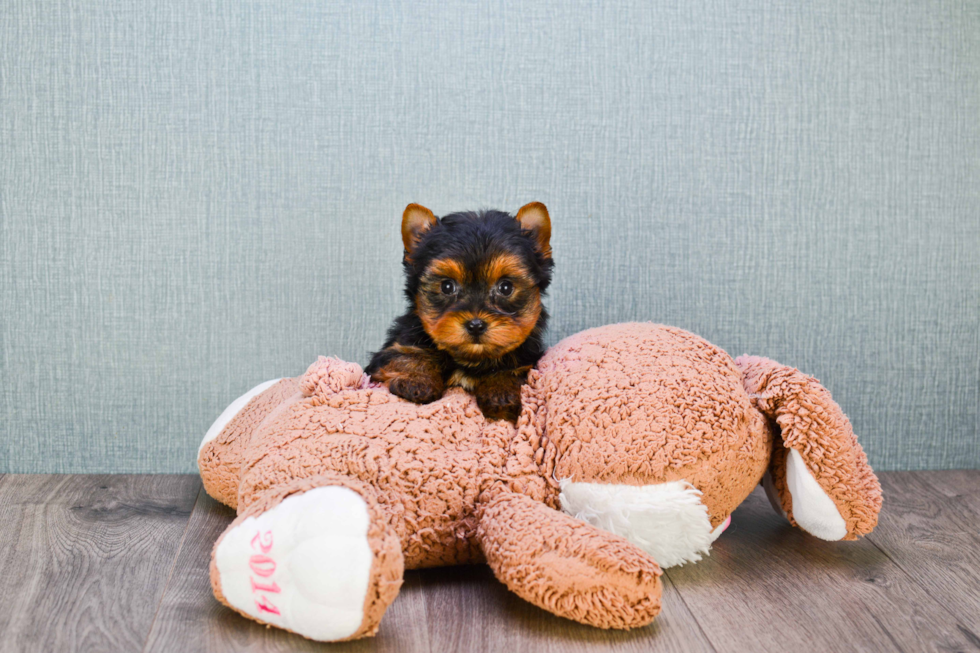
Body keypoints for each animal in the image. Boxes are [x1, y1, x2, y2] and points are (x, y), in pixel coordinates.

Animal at [366, 201, 552, 420]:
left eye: (506, 287)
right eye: (447, 286)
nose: (476, 325)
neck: (470, 359)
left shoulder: (527, 360)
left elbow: (509, 370)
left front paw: (500, 393)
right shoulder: (390, 351)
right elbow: (406, 356)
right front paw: (417, 380)